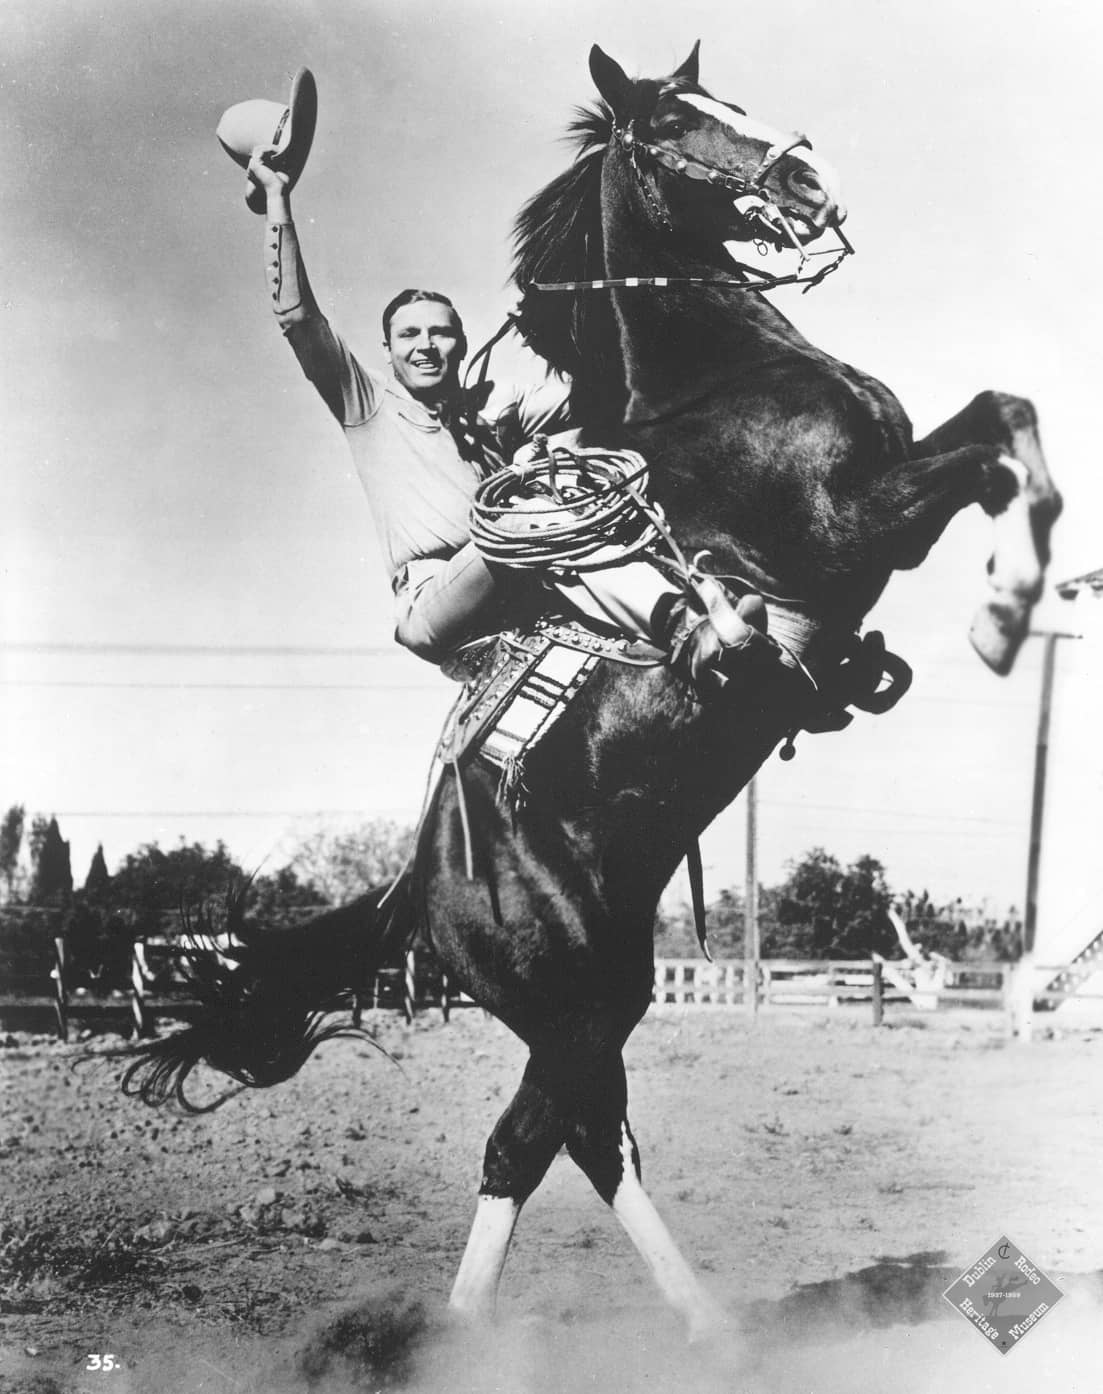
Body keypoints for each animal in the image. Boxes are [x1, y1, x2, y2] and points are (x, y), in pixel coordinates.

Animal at [122, 49, 1059, 1343]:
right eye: (670, 122)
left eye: (727, 104)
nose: (809, 188)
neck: (715, 378)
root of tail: (416, 890)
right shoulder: (852, 520)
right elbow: (992, 440)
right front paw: (1003, 608)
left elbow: (1006, 412)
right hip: (564, 1001)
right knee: (526, 1141)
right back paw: (479, 1344)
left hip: (600, 994)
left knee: (583, 1136)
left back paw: (710, 1333)